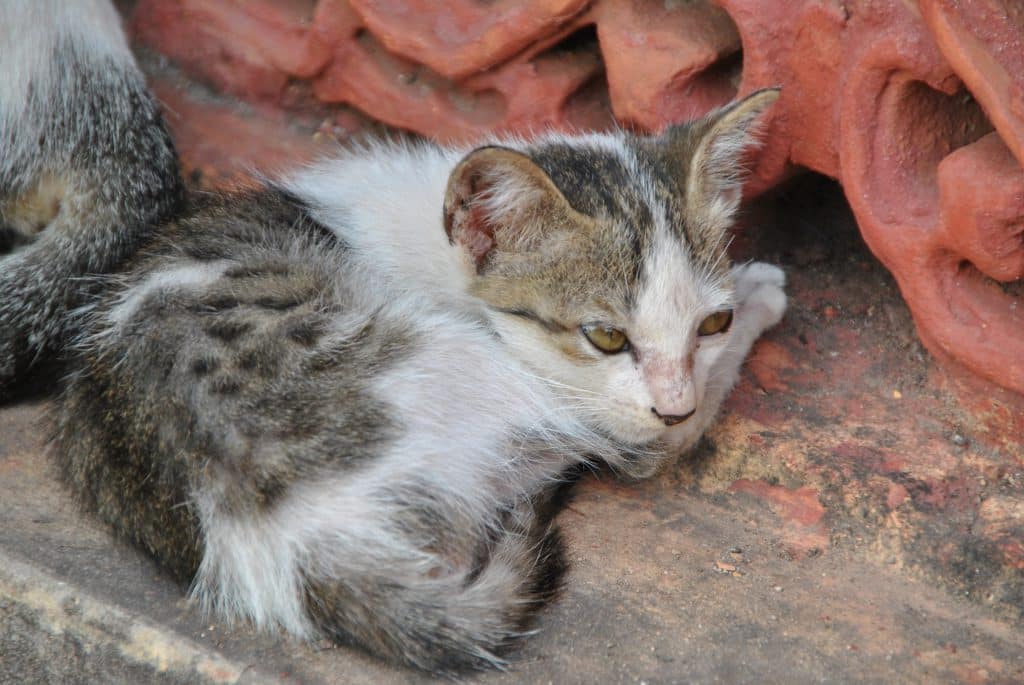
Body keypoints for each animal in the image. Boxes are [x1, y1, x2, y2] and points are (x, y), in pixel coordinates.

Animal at [0, 0, 786, 671]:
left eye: (707, 324)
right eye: (605, 337)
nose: (674, 403)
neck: (438, 243)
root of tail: (291, 532)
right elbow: (648, 445)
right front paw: (760, 291)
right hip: (468, 374)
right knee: (627, 452)